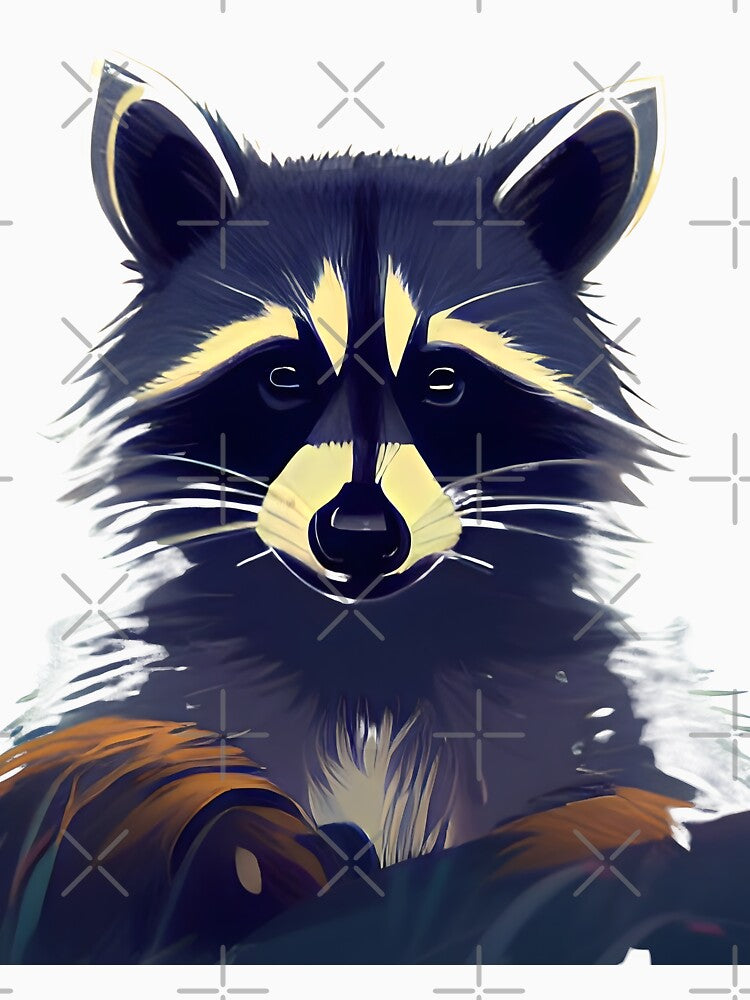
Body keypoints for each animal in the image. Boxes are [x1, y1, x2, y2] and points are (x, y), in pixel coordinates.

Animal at [2, 60, 745, 965]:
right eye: (283, 376)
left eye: (443, 380)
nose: (358, 536)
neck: (366, 651)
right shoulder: (176, 683)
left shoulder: (577, 713)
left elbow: (602, 814)